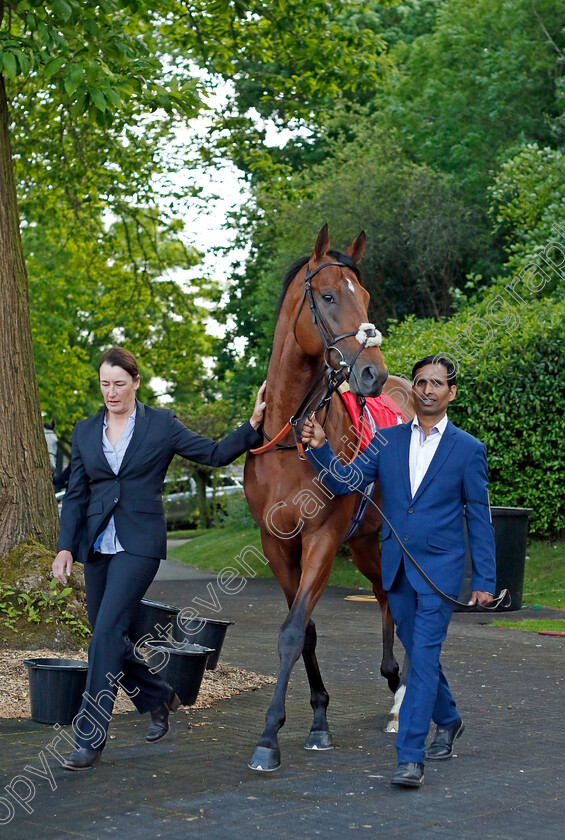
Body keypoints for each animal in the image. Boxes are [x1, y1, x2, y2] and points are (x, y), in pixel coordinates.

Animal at [245, 225, 412, 776]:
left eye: (366, 296)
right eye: (328, 296)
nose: (371, 374)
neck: (288, 438)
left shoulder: (322, 537)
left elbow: (292, 631)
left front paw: (269, 737)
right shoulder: (277, 545)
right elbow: (306, 630)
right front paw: (317, 719)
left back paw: (403, 694)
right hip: (363, 542)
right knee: (384, 594)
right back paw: (394, 679)